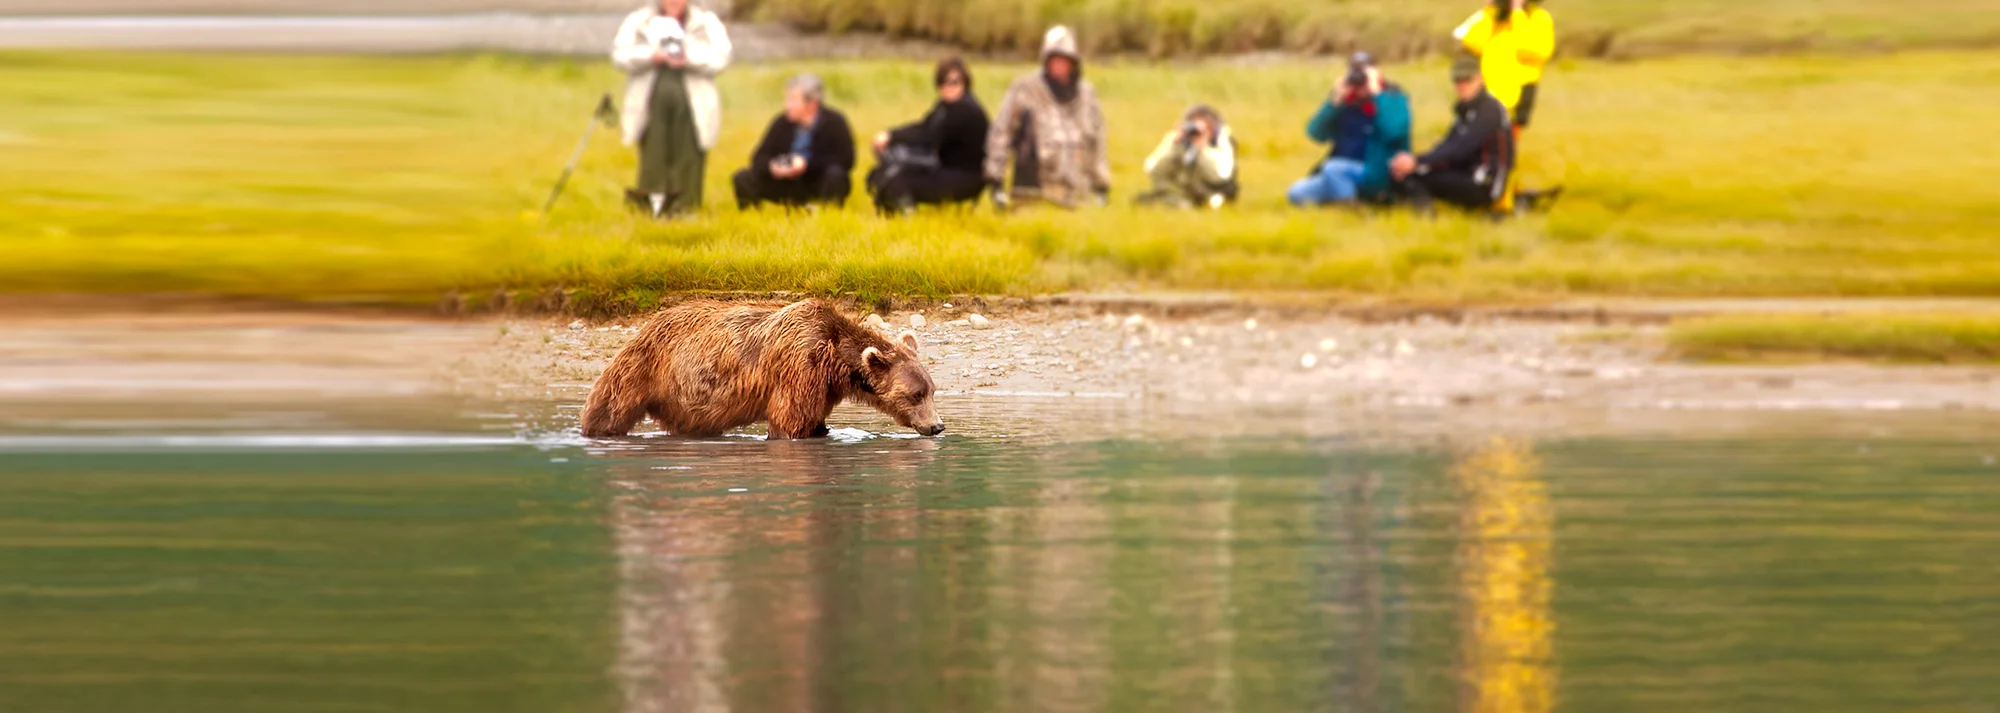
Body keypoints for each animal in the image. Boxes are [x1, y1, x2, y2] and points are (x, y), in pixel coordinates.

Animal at [579, 299, 944, 439]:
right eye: (915, 394)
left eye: (932, 390)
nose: (937, 426)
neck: (833, 361)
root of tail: (647, 322)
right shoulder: (799, 370)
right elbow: (789, 423)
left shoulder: (822, 388)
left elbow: (815, 422)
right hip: (642, 369)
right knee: (609, 408)